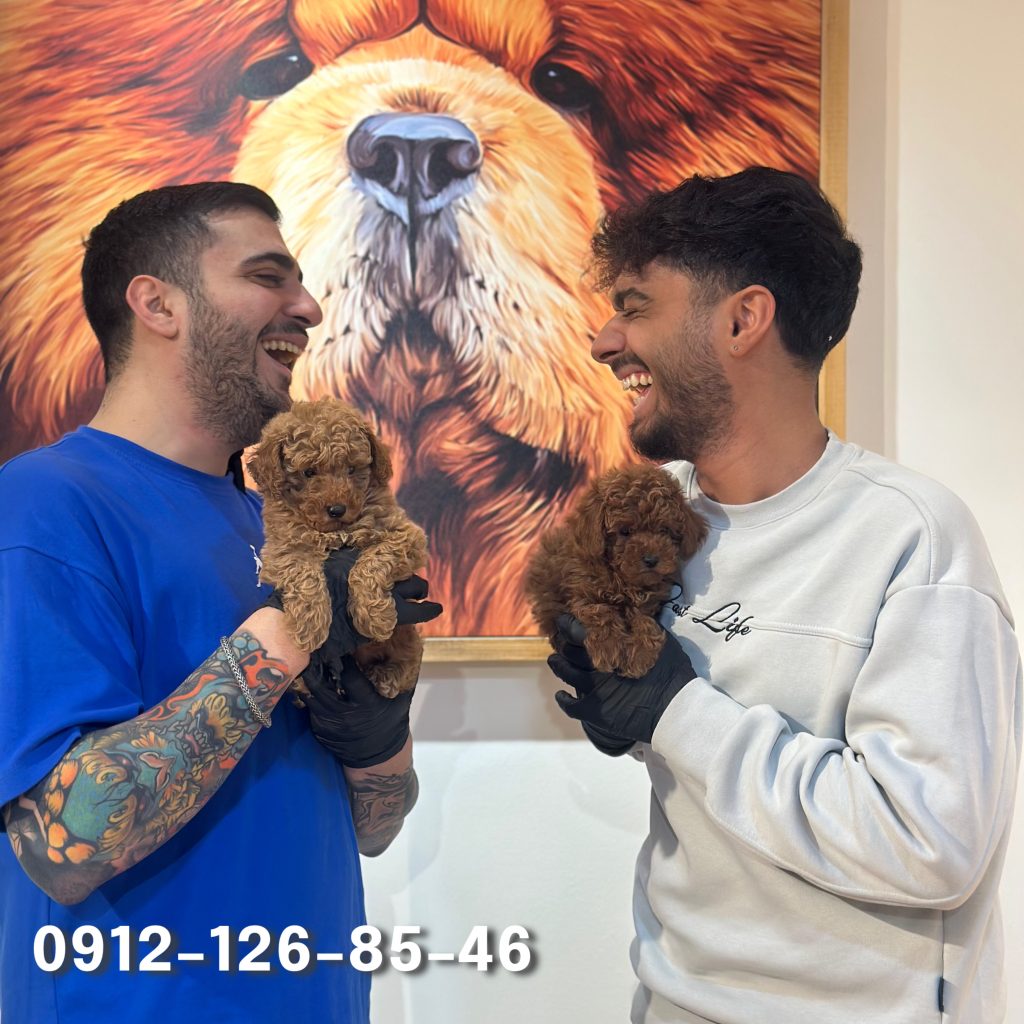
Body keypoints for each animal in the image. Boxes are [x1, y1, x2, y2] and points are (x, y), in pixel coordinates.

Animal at [249, 395, 425, 700]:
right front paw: (309, 627)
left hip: (409, 638)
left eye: (351, 470)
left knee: (408, 662)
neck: (334, 531)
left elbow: (371, 563)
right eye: (308, 472)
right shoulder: (282, 549)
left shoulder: (405, 536)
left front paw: (375, 617)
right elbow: (303, 574)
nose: (337, 509)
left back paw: (386, 676)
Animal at [524, 466, 708, 679]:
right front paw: (609, 647)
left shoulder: (647, 603)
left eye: (664, 530)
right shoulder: (579, 592)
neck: (622, 579)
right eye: (625, 531)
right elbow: (599, 610)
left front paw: (641, 653)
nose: (651, 560)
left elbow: (642, 618)